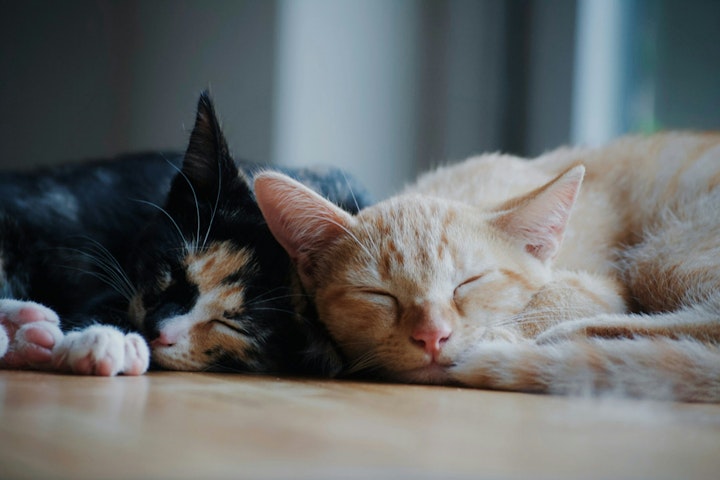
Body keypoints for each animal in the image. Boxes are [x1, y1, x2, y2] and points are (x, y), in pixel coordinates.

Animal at [253, 131, 720, 402]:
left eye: (469, 282)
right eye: (378, 294)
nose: (432, 336)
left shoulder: (604, 284)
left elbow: (562, 295)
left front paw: (509, 333)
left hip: (660, 254)